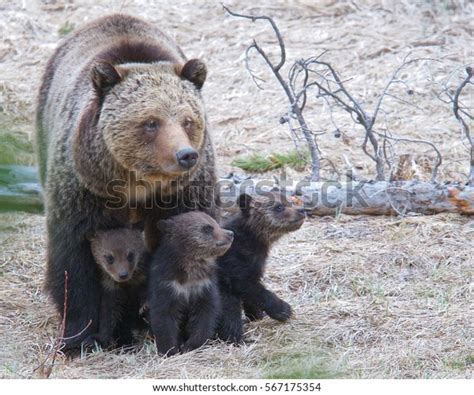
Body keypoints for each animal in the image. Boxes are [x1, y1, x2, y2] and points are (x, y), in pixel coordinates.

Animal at [36, 14, 218, 350]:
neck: (138, 183)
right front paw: (78, 337)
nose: (185, 155)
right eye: (151, 122)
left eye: (188, 120)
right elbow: (73, 263)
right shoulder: (84, 191)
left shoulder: (184, 193)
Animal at [146, 212, 231, 358]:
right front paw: (170, 350)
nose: (230, 233)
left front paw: (190, 346)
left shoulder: (205, 286)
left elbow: (205, 315)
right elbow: (164, 316)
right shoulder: (167, 286)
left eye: (215, 223)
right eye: (207, 228)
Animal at [217, 193, 306, 344]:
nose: (302, 210)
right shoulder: (232, 265)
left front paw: (256, 314)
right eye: (279, 206)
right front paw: (283, 310)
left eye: (290, 202)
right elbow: (249, 288)